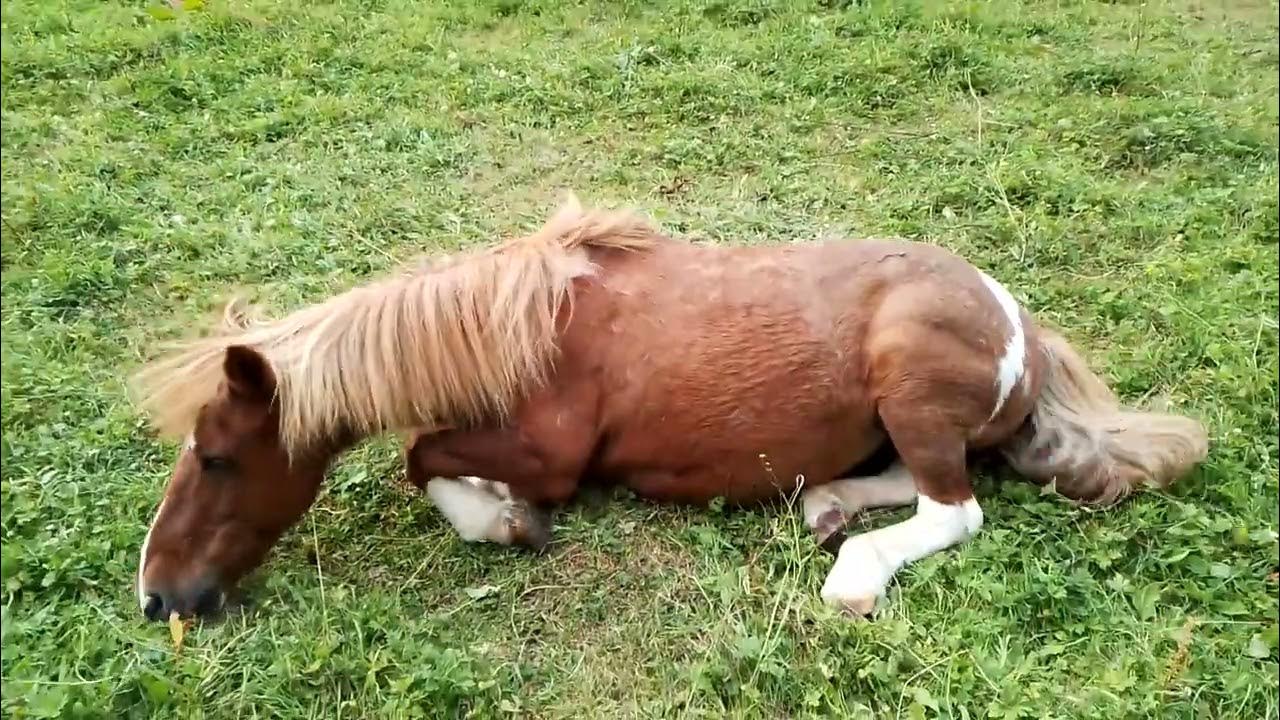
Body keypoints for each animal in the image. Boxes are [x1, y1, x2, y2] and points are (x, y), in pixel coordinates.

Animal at [130, 195, 1209, 622]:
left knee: (956, 508)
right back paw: (826, 507)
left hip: (909, 387)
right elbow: (431, 454)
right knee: (909, 479)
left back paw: (852, 573)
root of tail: (1017, 319)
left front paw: (506, 520)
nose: (158, 597)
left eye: (216, 457)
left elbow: (422, 459)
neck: (530, 320)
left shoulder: (552, 453)